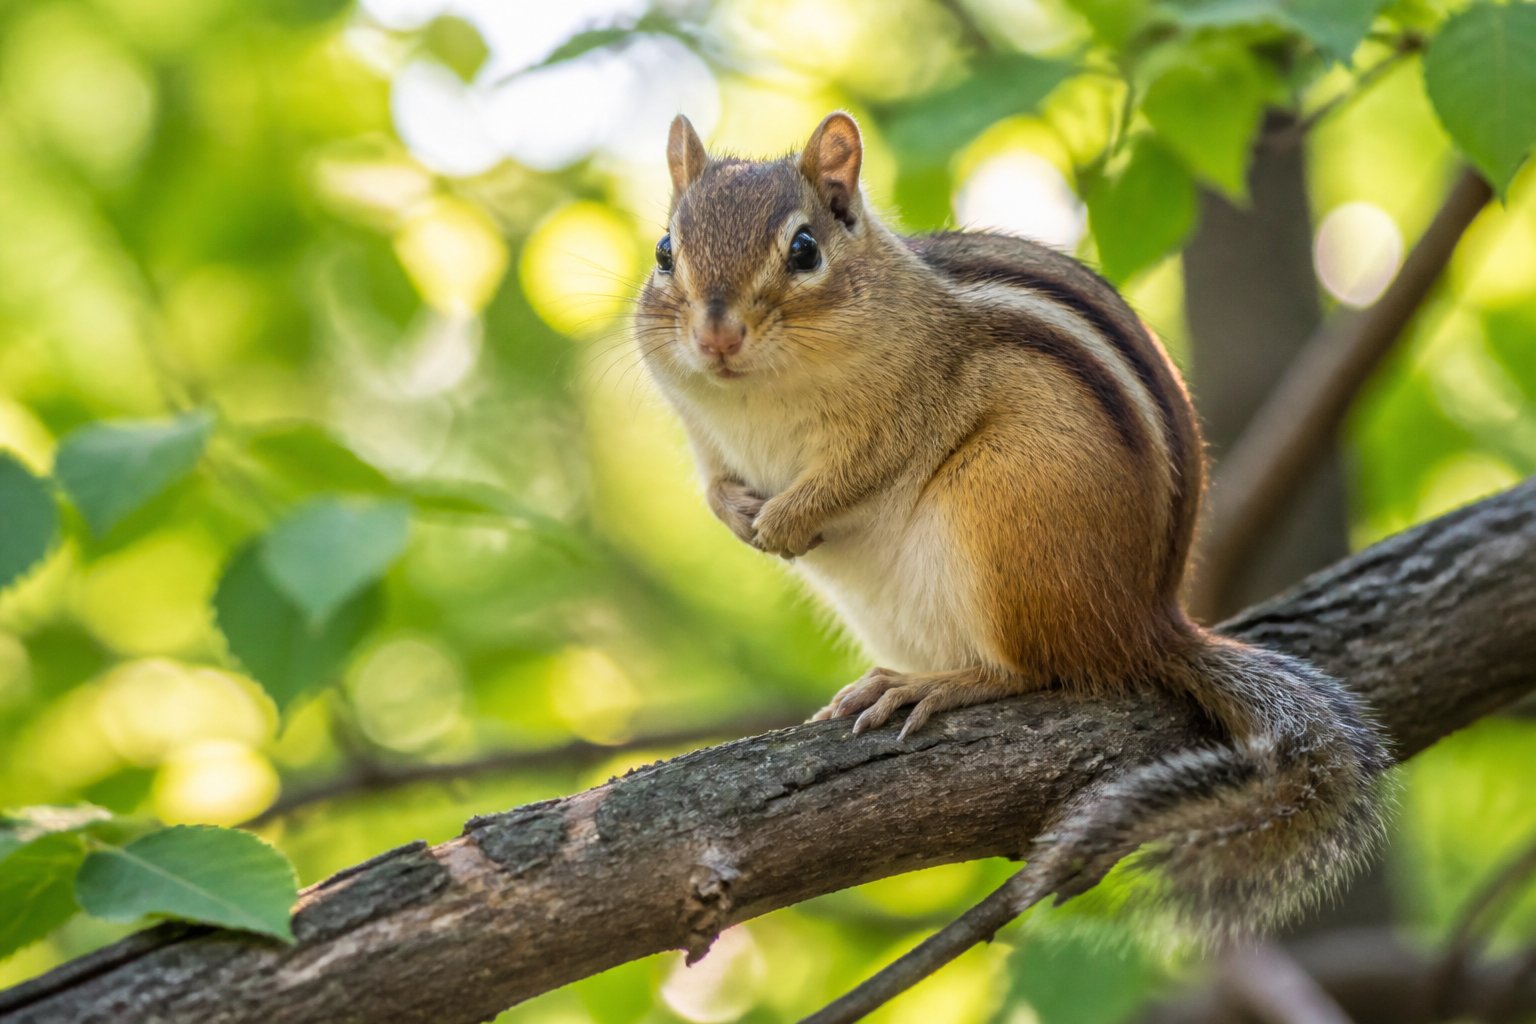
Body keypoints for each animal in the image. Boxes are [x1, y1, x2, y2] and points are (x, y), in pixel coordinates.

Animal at [635, 111, 1390, 938]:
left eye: (804, 249)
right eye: (665, 251)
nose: (716, 337)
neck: (756, 397)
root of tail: (1148, 620)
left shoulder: (906, 408)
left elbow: (858, 473)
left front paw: (783, 522)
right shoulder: (704, 434)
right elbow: (713, 485)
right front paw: (740, 516)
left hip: (1003, 514)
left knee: (1032, 670)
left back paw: (938, 687)